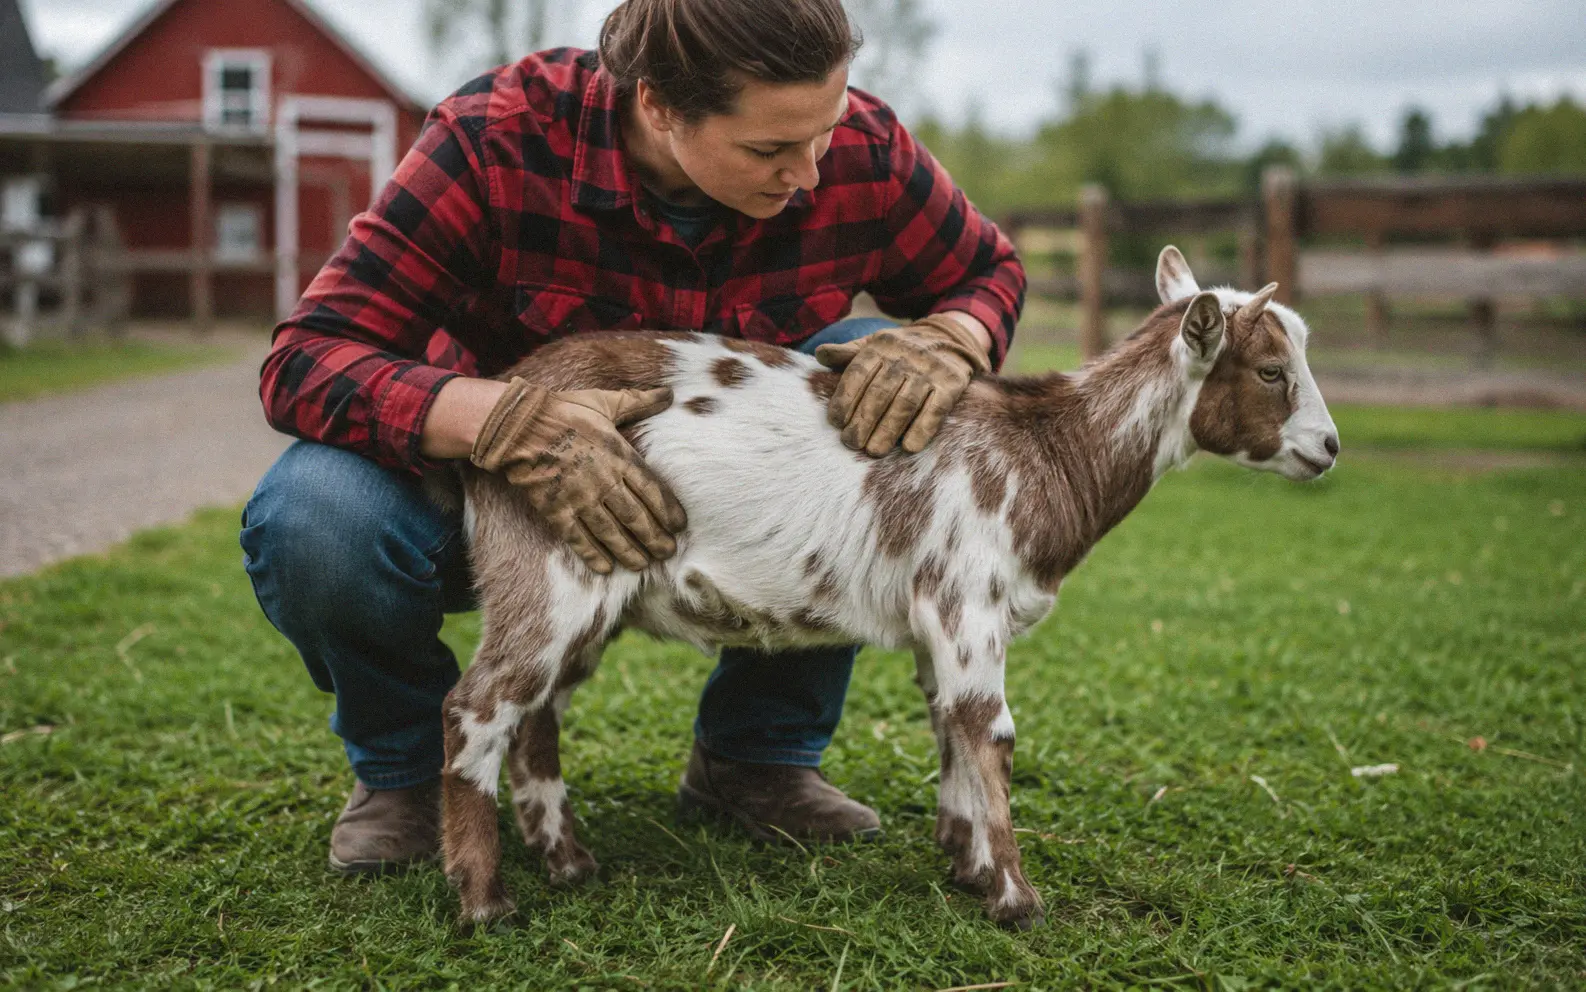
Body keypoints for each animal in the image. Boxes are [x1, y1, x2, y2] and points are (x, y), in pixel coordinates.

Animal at [440, 246, 1340, 929]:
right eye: (1270, 370)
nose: (1329, 447)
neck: (1047, 450)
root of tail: (510, 393)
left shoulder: (942, 619)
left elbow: (947, 723)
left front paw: (966, 862)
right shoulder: (969, 599)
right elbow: (989, 731)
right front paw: (1017, 899)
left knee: (537, 713)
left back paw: (568, 862)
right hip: (551, 564)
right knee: (479, 706)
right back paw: (485, 902)